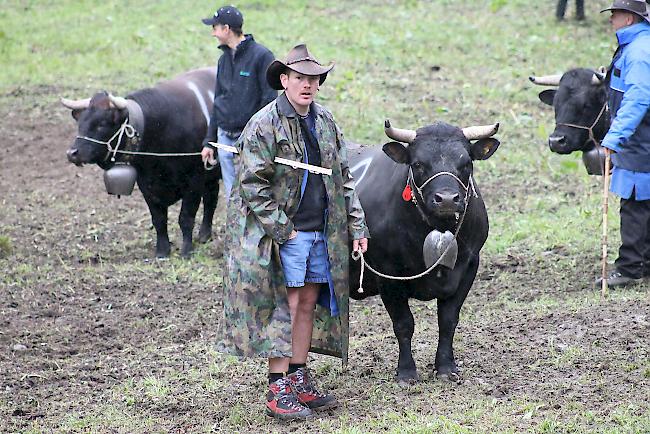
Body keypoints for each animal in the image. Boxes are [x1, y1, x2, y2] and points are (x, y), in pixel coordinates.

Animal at [63, 67, 220, 258]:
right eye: (80, 124)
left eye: (101, 124)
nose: (72, 153)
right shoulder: (146, 184)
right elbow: (159, 219)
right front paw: (162, 251)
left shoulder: (194, 181)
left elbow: (186, 217)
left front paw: (186, 250)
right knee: (211, 198)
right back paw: (205, 235)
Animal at [346, 120, 498, 382]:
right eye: (418, 164)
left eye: (466, 163)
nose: (446, 199)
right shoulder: (388, 274)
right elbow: (403, 324)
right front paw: (406, 371)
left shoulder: (469, 266)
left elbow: (448, 320)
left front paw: (446, 367)